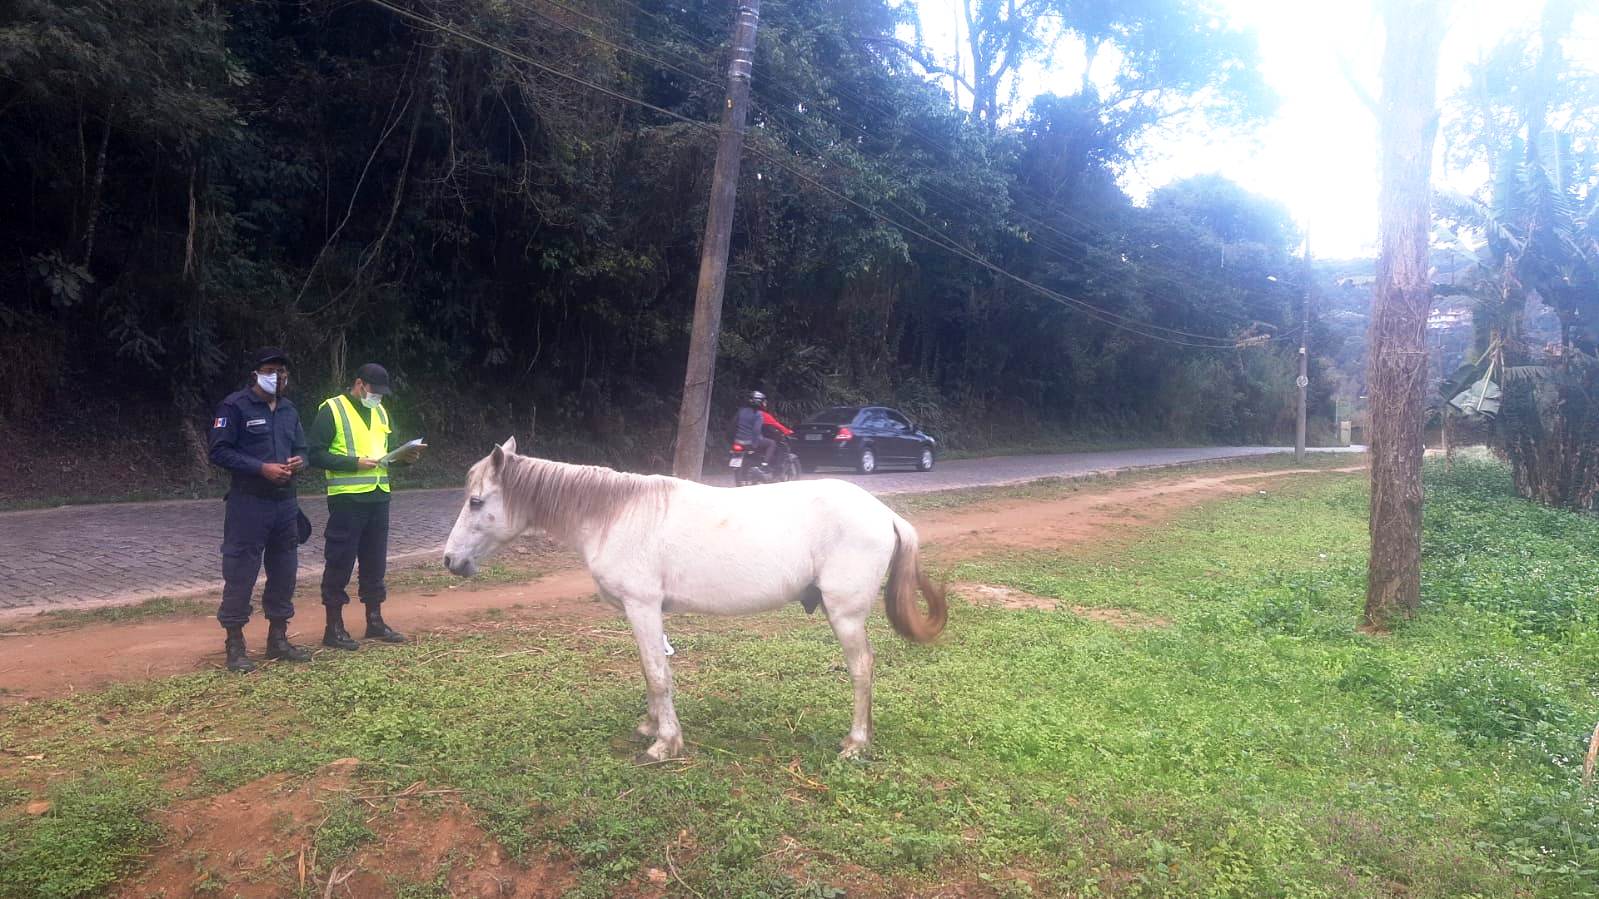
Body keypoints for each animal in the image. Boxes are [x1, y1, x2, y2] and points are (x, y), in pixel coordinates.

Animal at [441, 438, 946, 758]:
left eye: (476, 502)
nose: (449, 560)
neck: (613, 514)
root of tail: (885, 514)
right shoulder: (641, 613)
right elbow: (651, 672)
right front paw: (651, 725)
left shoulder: (643, 606)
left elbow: (656, 673)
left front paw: (665, 742)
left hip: (845, 616)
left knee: (862, 669)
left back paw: (855, 743)